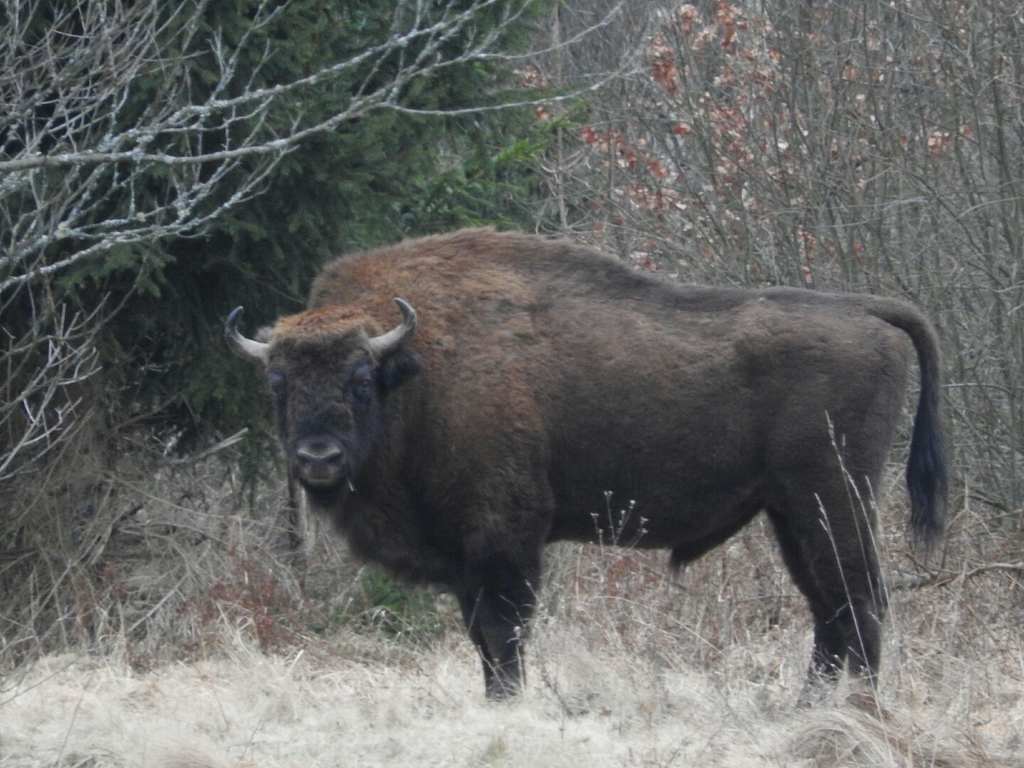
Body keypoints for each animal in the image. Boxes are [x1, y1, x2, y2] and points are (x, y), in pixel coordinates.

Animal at [226, 228, 946, 702]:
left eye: (359, 381)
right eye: (278, 384)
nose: (318, 458)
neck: (420, 367)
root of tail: (866, 310)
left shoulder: (503, 538)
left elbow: (502, 632)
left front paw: (509, 704)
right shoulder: (467, 558)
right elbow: (482, 636)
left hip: (834, 500)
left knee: (860, 602)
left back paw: (855, 712)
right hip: (791, 515)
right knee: (830, 610)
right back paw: (809, 709)